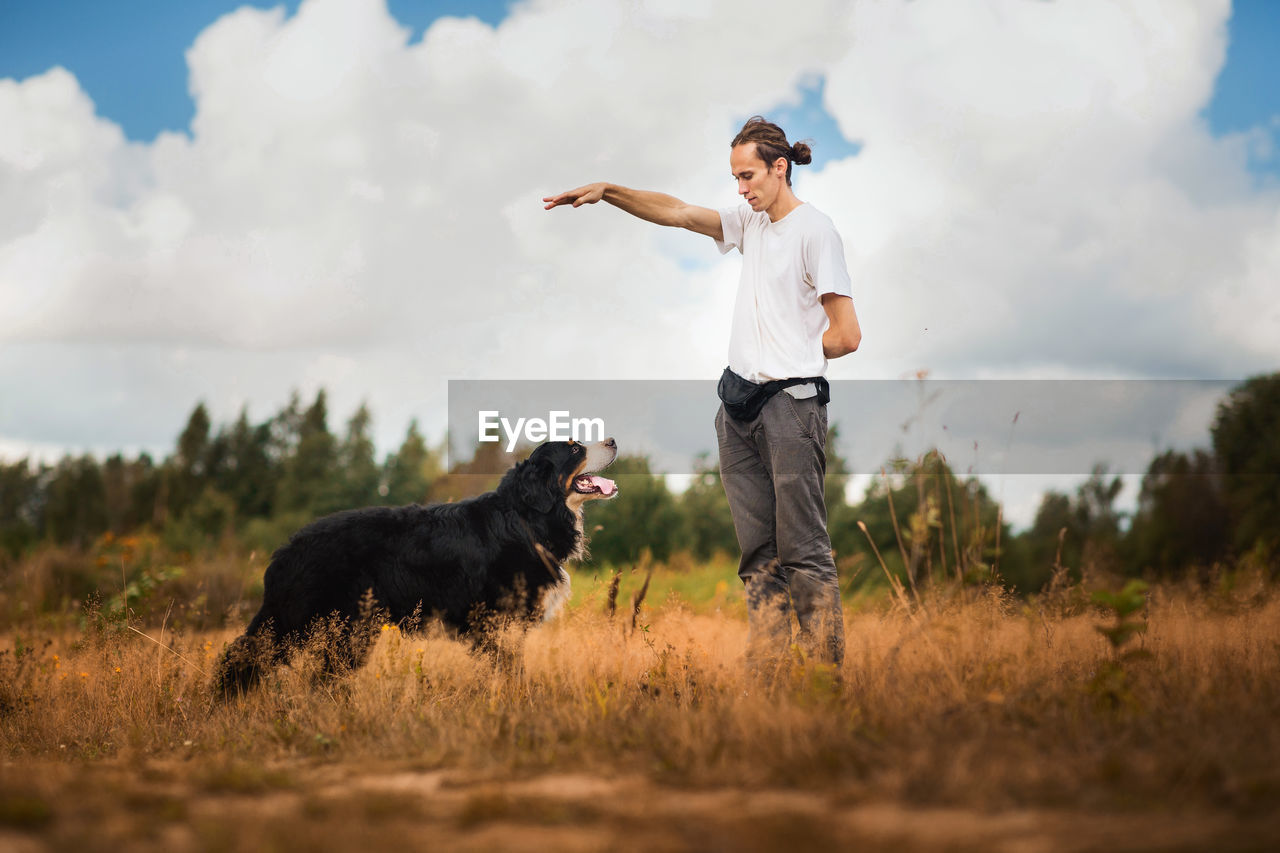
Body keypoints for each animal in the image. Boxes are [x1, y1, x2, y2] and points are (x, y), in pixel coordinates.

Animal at [213, 435, 614, 696]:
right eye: (575, 448)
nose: (611, 440)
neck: (526, 519)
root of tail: (286, 548)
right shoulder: (493, 622)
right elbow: (508, 669)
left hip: (349, 629)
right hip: (296, 619)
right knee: (241, 657)